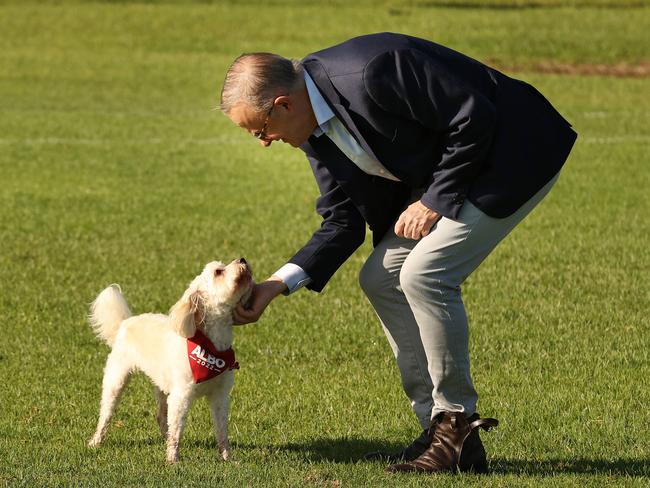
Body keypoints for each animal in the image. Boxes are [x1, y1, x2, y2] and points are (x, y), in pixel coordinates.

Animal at [84, 260, 251, 462]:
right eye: (218, 272)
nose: (242, 260)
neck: (211, 346)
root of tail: (125, 322)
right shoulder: (181, 396)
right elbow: (177, 430)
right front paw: (173, 460)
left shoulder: (220, 395)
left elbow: (222, 431)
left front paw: (228, 458)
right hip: (116, 378)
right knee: (106, 414)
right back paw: (95, 441)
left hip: (162, 384)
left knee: (162, 417)